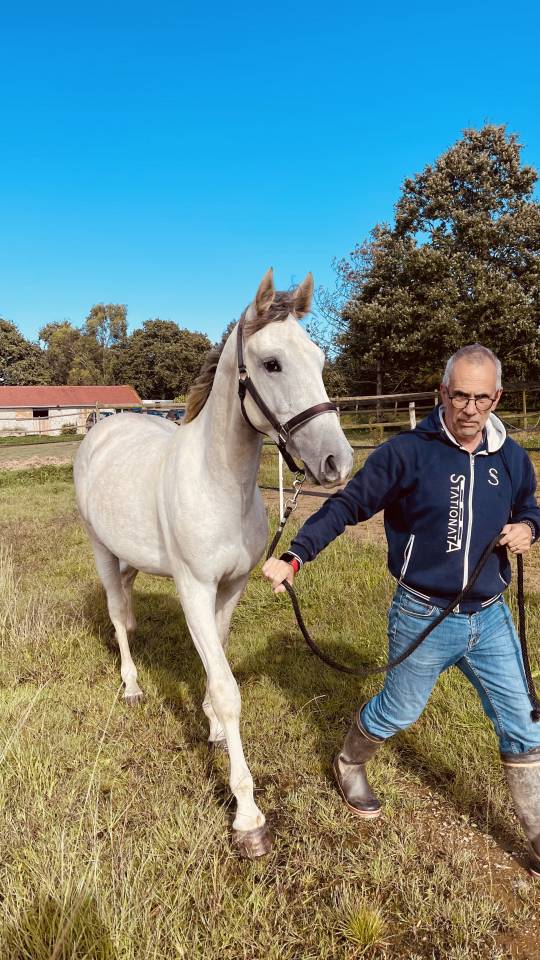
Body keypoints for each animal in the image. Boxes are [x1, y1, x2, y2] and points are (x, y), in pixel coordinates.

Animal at [74, 269, 353, 857]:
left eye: (319, 359)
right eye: (272, 364)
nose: (337, 462)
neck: (220, 484)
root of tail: (102, 428)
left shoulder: (232, 587)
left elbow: (218, 658)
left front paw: (214, 729)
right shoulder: (194, 589)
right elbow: (227, 690)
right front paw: (248, 818)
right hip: (101, 551)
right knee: (117, 618)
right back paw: (131, 686)